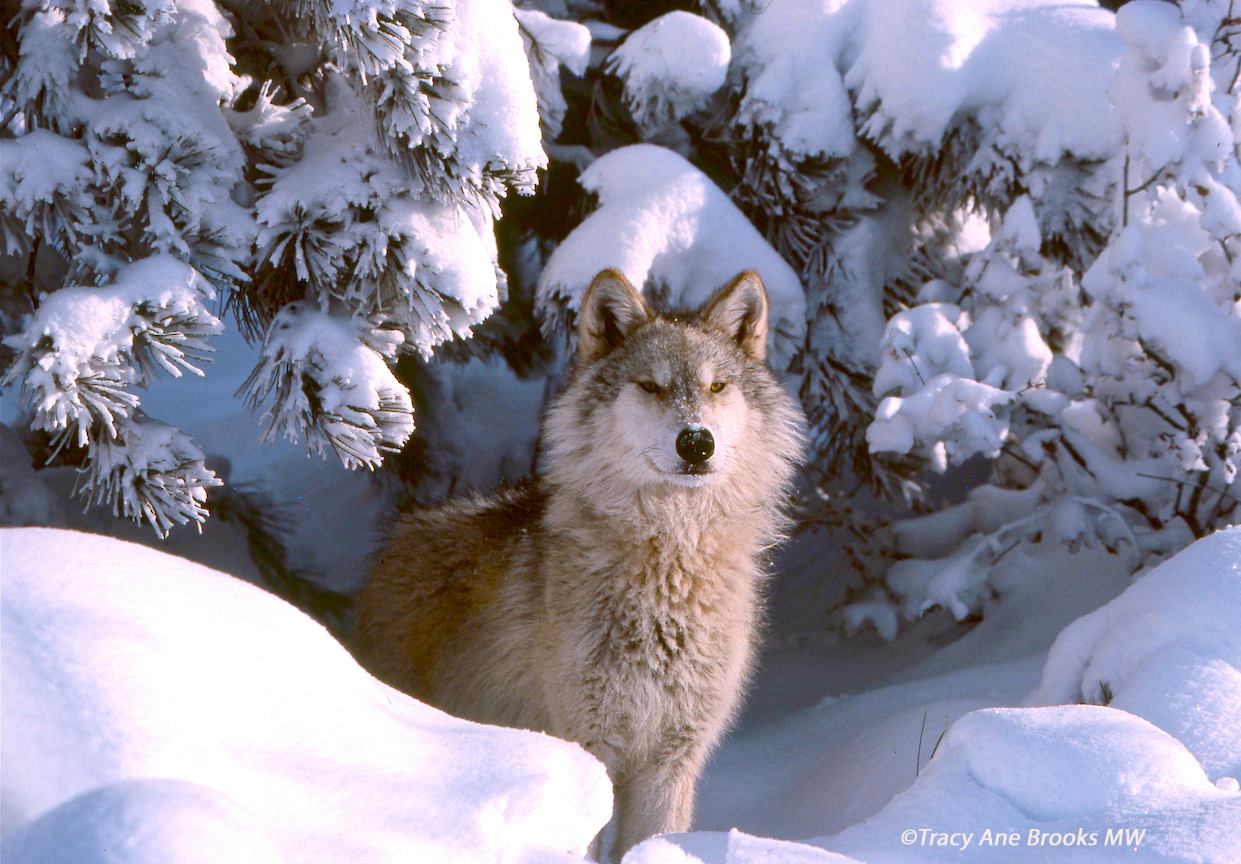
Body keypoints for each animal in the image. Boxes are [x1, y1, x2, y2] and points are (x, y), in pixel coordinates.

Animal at [353, 268, 806, 858]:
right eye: (651, 386)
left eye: (717, 387)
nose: (696, 442)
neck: (669, 562)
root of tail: (398, 537)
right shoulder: (587, 747)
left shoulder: (671, 760)